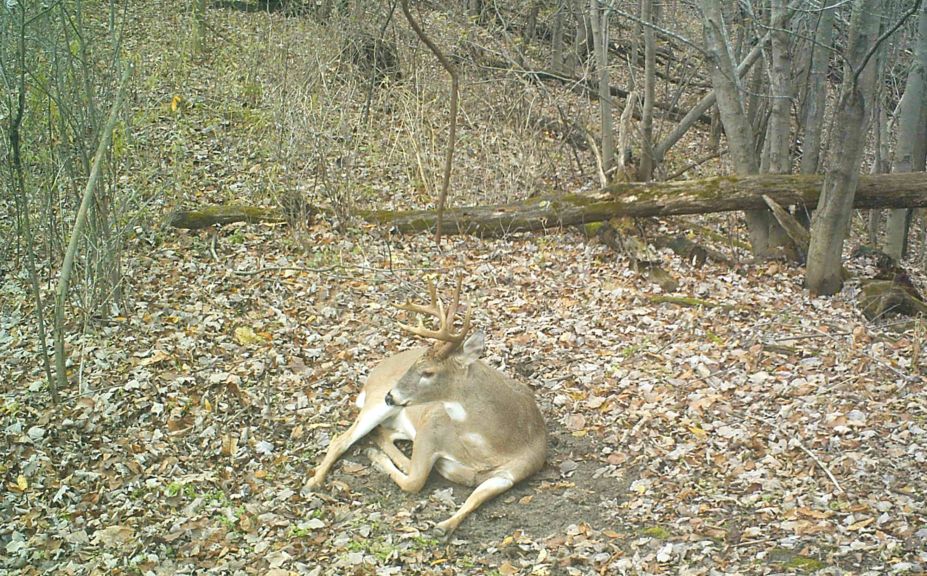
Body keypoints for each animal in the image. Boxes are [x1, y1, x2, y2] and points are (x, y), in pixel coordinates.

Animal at [308, 280, 548, 540]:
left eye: (428, 372)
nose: (391, 395)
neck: (491, 448)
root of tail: (371, 378)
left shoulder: (513, 472)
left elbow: (475, 498)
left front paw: (444, 526)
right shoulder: (432, 426)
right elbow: (415, 481)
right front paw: (378, 460)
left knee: (383, 434)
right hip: (377, 405)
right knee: (341, 440)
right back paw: (314, 482)